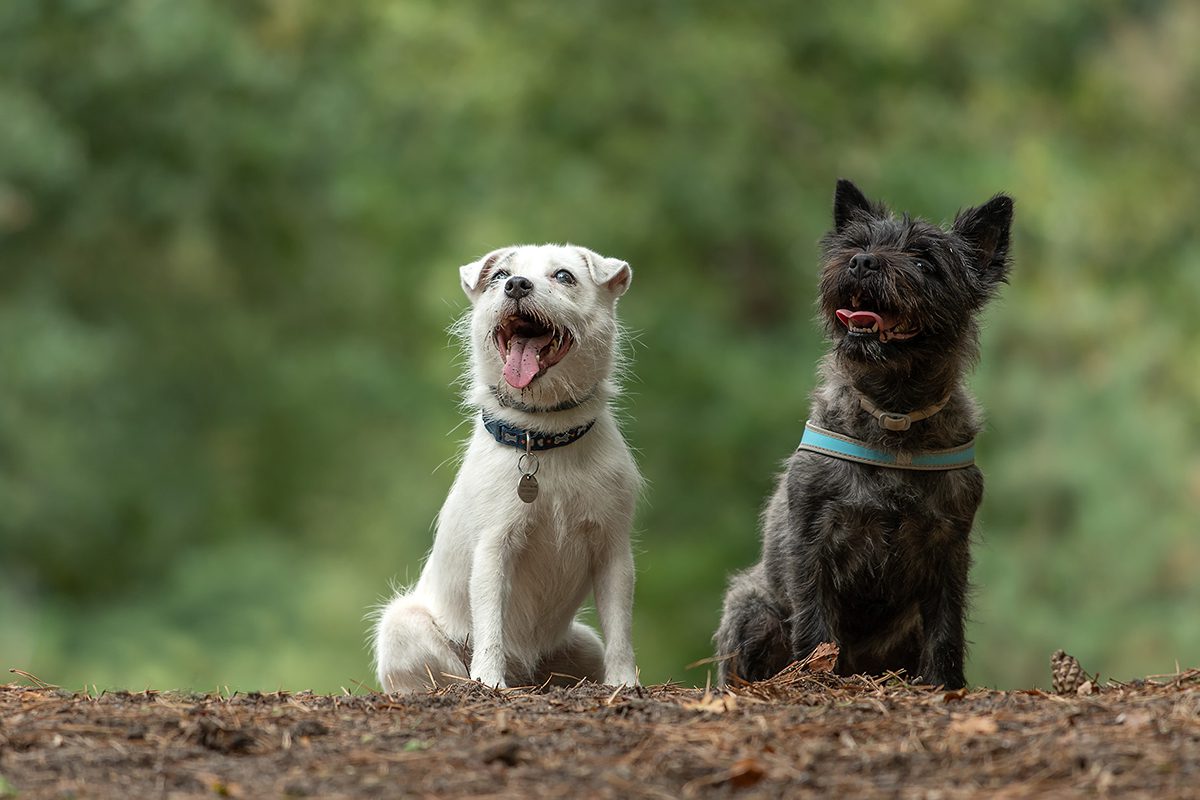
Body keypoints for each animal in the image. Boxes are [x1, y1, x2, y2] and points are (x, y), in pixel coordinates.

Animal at [372, 241, 638, 690]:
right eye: (499, 276)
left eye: (564, 276)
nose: (515, 284)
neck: (543, 436)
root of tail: (526, 669)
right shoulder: (494, 546)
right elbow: (490, 621)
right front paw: (489, 679)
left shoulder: (612, 548)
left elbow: (620, 624)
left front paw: (623, 681)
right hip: (402, 626)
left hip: (583, 644)